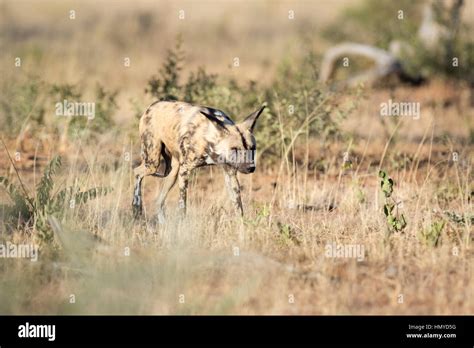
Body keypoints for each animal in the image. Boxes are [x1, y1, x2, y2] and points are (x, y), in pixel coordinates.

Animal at [132, 100, 266, 223]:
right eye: (235, 149)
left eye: (252, 148)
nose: (250, 168)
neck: (209, 139)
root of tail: (153, 105)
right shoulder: (185, 171)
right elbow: (182, 206)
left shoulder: (230, 173)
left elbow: (238, 207)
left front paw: (241, 229)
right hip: (153, 163)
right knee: (137, 172)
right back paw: (136, 207)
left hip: (172, 172)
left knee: (158, 200)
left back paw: (162, 224)